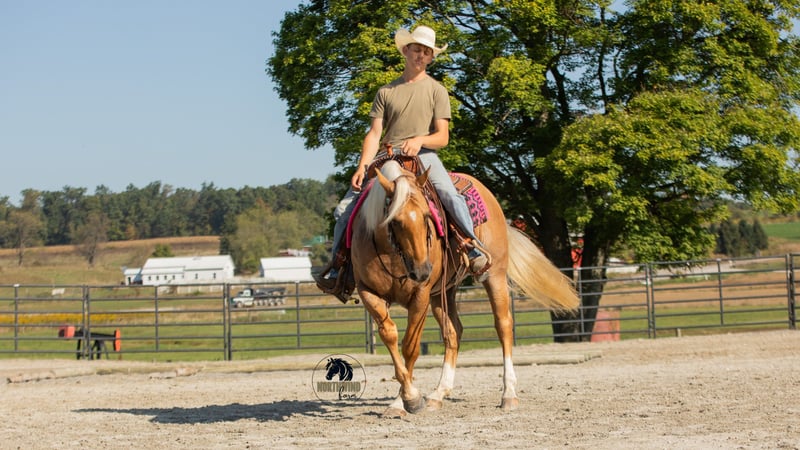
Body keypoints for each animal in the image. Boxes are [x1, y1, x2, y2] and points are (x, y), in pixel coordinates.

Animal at [349, 159, 580, 417]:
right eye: (395, 221)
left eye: (427, 216)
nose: (422, 271)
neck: (392, 255)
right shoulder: (368, 292)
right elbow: (390, 335)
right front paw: (403, 399)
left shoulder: (420, 295)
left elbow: (410, 346)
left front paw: (409, 399)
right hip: (443, 292)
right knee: (453, 332)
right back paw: (438, 394)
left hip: (494, 276)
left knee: (503, 325)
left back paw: (508, 393)